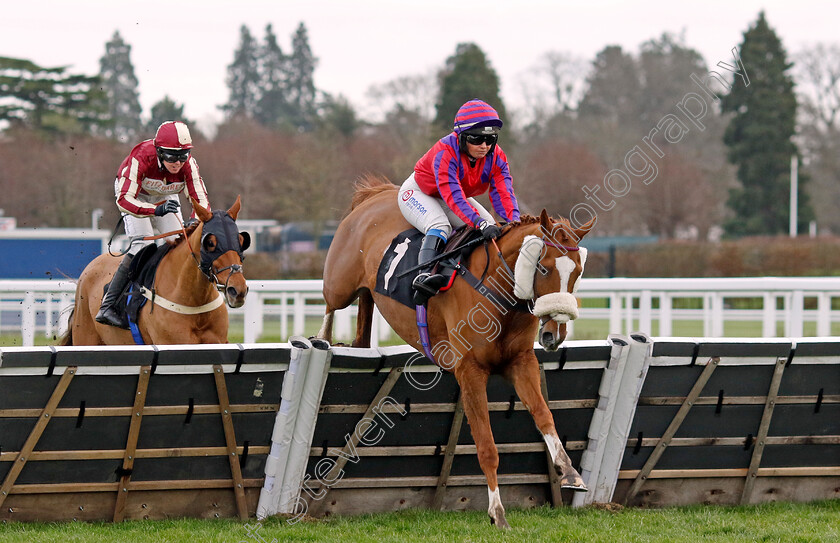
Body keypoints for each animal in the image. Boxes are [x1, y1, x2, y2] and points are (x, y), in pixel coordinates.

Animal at [59, 198, 249, 346]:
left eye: (241, 240)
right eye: (210, 243)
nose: (237, 290)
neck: (195, 301)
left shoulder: (218, 342)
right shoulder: (173, 343)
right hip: (85, 337)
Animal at [316, 176, 596, 528]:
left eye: (577, 271)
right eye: (544, 268)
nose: (553, 334)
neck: (500, 293)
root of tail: (376, 193)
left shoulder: (521, 361)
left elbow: (544, 415)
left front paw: (569, 472)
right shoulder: (470, 370)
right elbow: (486, 445)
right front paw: (497, 513)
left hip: (367, 293)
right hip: (340, 283)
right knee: (329, 307)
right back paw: (321, 341)